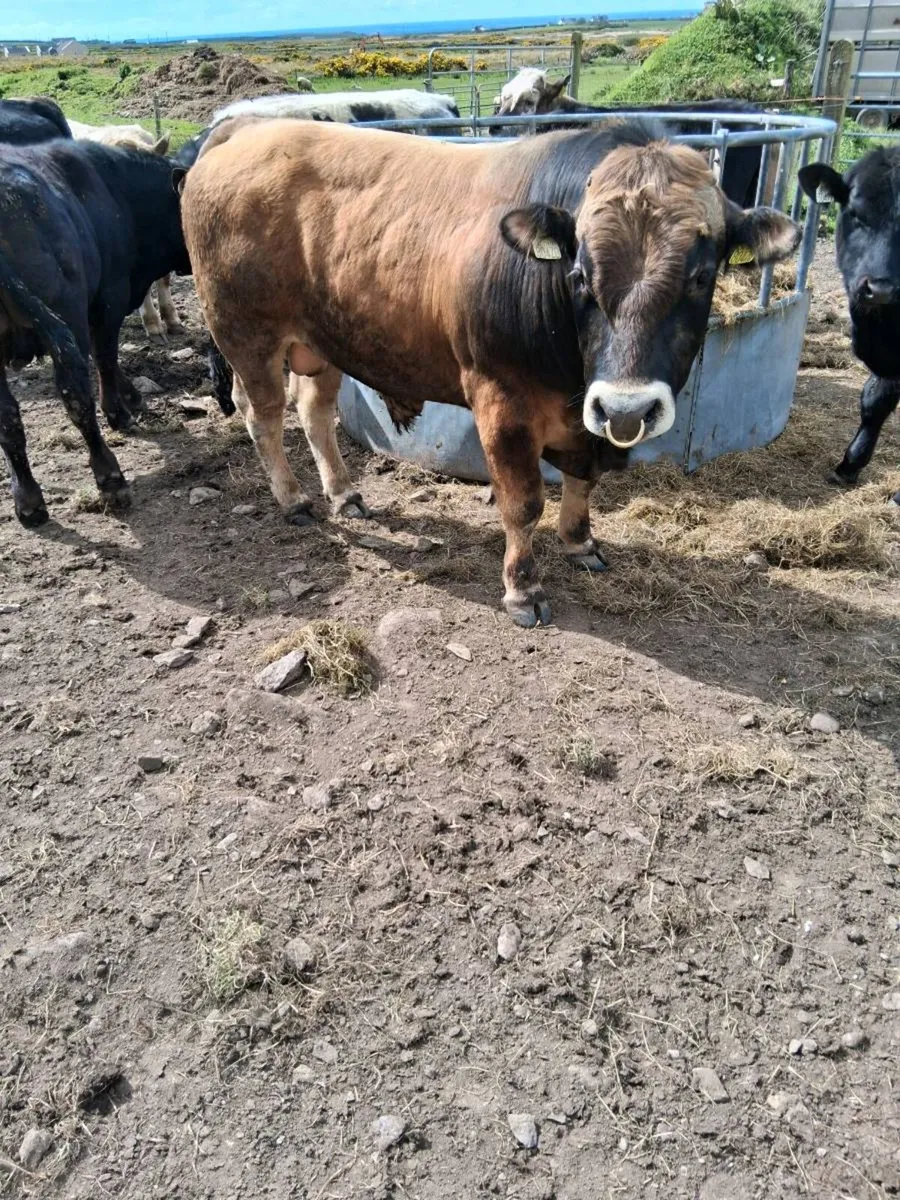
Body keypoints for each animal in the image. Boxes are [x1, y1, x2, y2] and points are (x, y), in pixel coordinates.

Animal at [0, 139, 191, 525]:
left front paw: (131, 396)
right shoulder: (109, 297)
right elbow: (105, 356)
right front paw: (119, 410)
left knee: (7, 418)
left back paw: (27, 499)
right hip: (66, 314)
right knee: (76, 396)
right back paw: (110, 477)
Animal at [181, 116, 800, 626]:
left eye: (701, 276)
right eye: (579, 274)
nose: (628, 407)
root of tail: (244, 129)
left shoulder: (586, 417)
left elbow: (583, 479)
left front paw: (580, 543)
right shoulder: (502, 405)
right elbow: (523, 503)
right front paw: (524, 591)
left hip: (323, 345)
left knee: (314, 413)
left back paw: (345, 493)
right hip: (247, 336)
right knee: (263, 417)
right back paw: (294, 501)